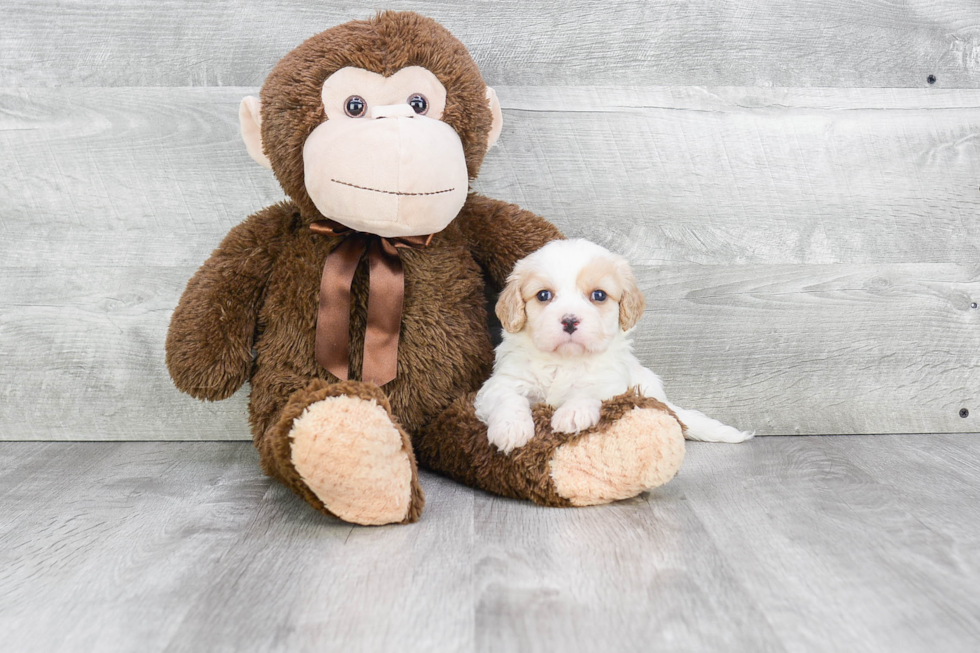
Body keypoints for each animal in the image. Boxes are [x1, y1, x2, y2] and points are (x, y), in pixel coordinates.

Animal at [478, 238, 756, 454]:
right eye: (543, 295)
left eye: (599, 295)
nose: (570, 321)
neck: (564, 360)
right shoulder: (503, 381)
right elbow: (508, 398)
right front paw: (510, 428)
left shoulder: (613, 384)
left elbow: (590, 390)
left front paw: (573, 412)